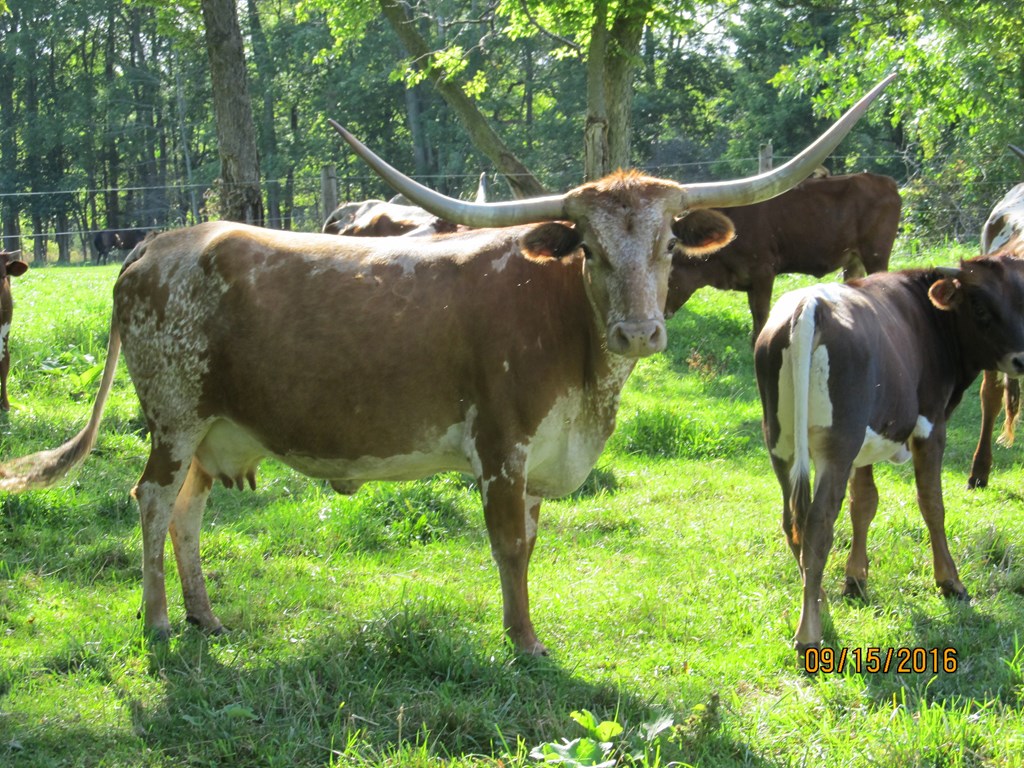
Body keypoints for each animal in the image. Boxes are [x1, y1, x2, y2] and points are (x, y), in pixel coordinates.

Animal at [755, 254, 1024, 651]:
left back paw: (818, 603)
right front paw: (950, 581)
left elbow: (864, 503)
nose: (1022, 359)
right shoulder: (930, 424)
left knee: (794, 523)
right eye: (979, 305)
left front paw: (855, 580)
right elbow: (932, 504)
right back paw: (809, 632)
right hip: (838, 446)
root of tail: (810, 304)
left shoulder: (865, 446)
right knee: (818, 524)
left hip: (781, 443)